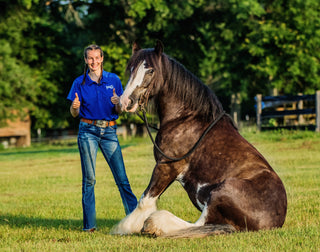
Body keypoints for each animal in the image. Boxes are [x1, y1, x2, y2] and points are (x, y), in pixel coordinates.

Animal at [111, 41, 286, 238]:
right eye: (131, 69)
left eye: (150, 70)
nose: (125, 102)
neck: (185, 118)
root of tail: (275, 221)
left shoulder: (166, 167)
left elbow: (144, 200)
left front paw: (125, 227)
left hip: (221, 191)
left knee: (199, 223)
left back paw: (156, 224)